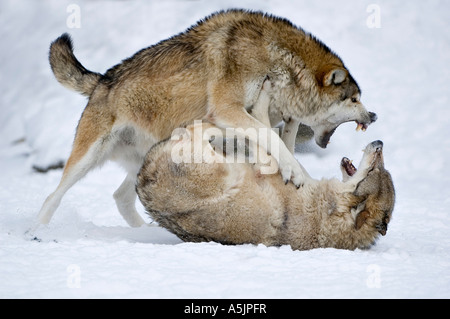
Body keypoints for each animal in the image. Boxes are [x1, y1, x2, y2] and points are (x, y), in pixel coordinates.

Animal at [37, 9, 376, 228]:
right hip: (86, 160)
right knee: (52, 195)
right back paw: (37, 231)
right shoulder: (228, 110)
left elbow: (279, 139)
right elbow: (273, 139)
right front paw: (298, 174)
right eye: (355, 99)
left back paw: (145, 232)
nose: (372, 115)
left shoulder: (247, 124)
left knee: (120, 196)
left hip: (140, 161)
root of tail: (102, 81)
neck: (277, 60)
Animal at [136, 122, 394, 250]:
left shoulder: (267, 168)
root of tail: (142, 180)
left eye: (374, 170)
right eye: (381, 169)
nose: (380, 142)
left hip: (221, 169)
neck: (329, 210)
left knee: (197, 131)